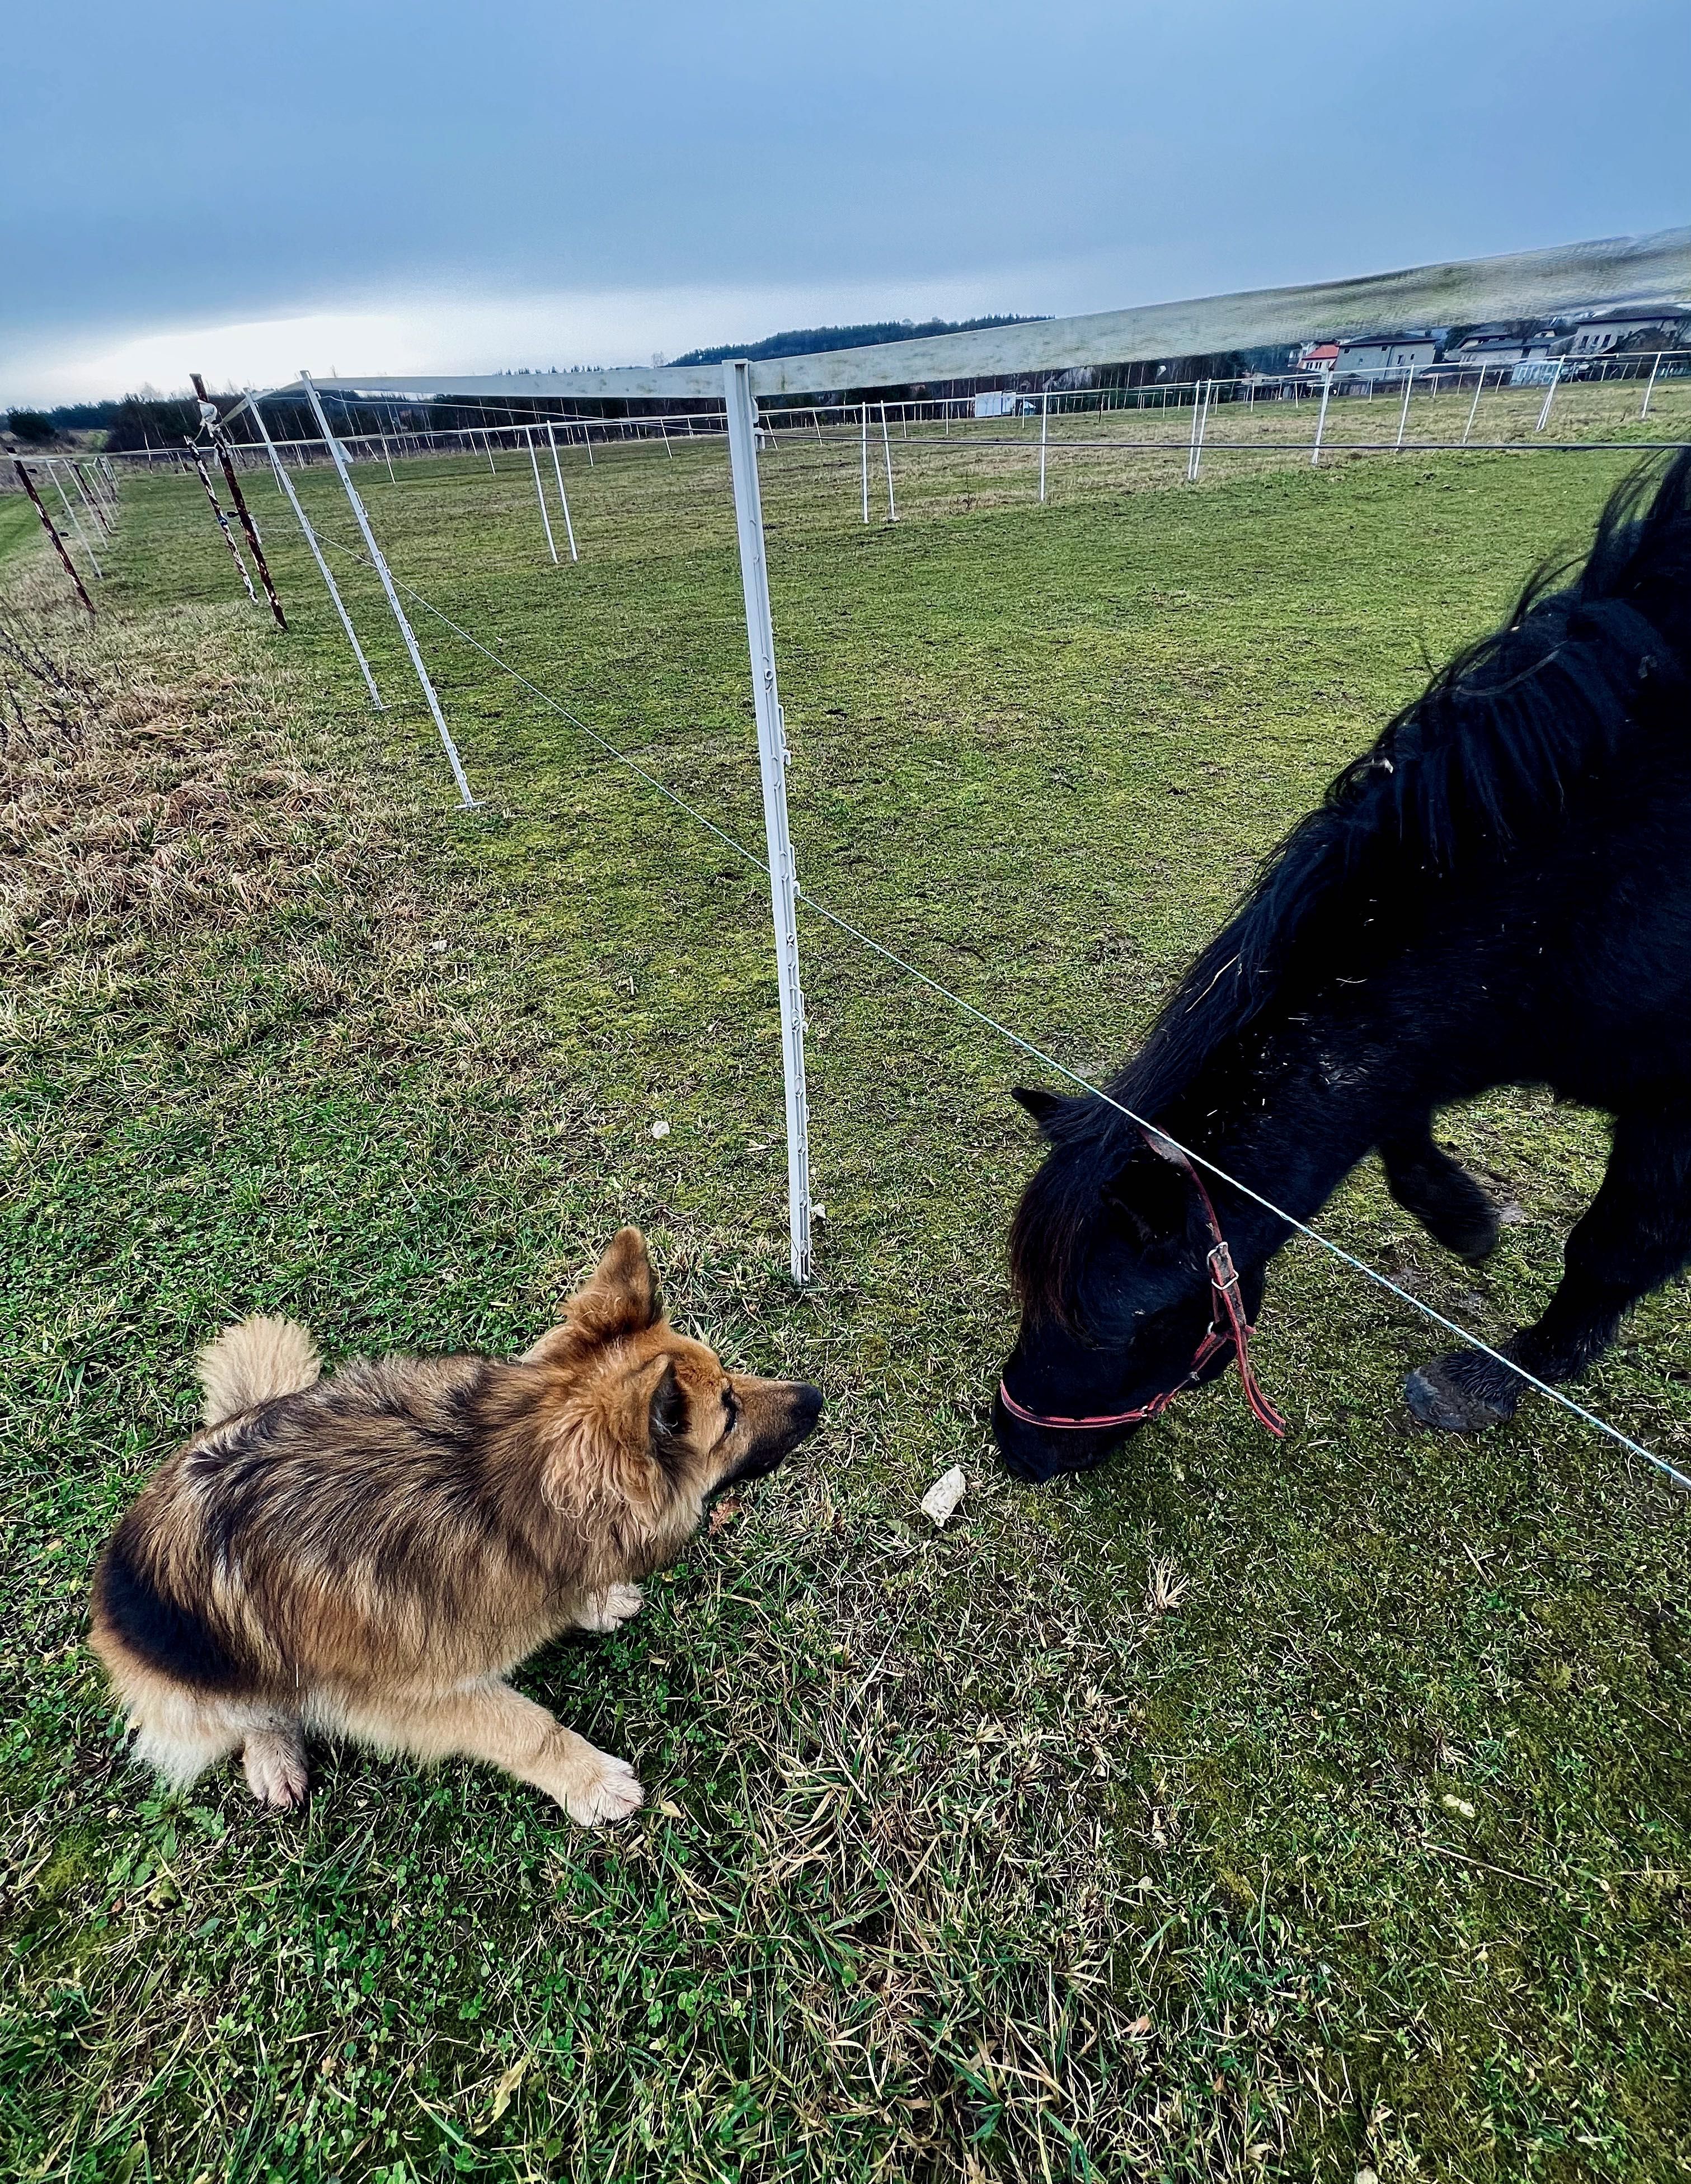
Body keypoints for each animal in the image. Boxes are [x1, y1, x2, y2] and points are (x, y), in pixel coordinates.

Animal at [90, 1231, 825, 1825]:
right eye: (728, 1412)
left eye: (730, 1377)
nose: (817, 1396)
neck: (494, 1489)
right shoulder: (411, 1696)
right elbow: (524, 1726)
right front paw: (589, 1780)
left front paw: (591, 1601)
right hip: (201, 1676)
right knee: (256, 1708)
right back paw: (273, 1751)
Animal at [1000, 450, 1691, 1476]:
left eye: (1112, 1325)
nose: (1011, 1445)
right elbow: (1393, 1119)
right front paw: (1464, 1217)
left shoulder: (1673, 1113)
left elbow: (1609, 1249)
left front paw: (1498, 1377)